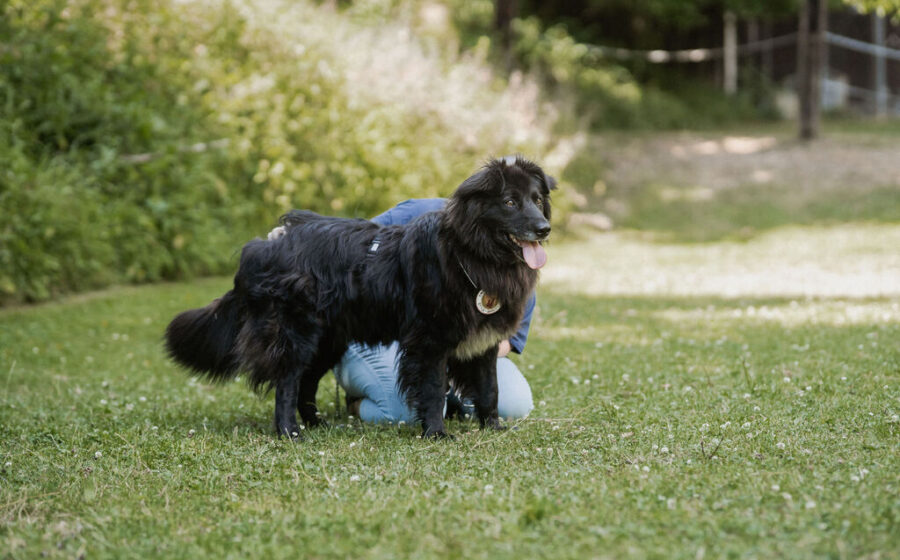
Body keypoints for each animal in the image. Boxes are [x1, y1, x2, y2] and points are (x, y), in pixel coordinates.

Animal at [164, 156, 554, 439]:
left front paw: (493, 428)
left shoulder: (483, 344)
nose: (544, 228)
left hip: (327, 341)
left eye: (537, 201)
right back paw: (290, 432)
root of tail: (264, 246)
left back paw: (317, 425)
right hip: (297, 336)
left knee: (305, 384)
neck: (472, 255)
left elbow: (490, 391)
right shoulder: (429, 343)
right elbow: (433, 390)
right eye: (509, 202)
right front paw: (436, 433)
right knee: (287, 383)